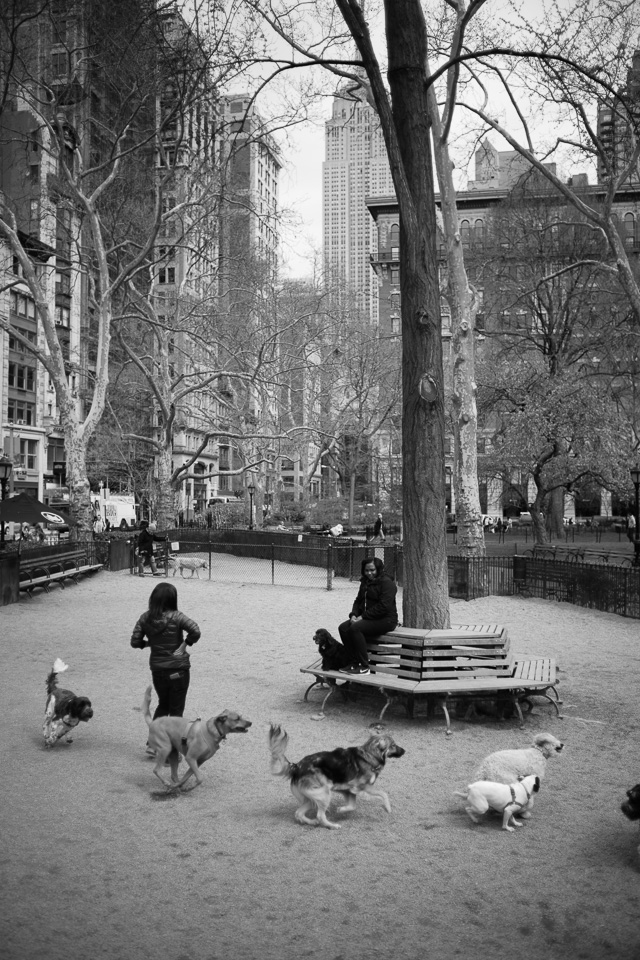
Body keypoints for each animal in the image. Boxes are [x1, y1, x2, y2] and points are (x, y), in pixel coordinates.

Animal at [270, 724, 404, 828]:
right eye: (393, 745)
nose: (404, 751)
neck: (369, 755)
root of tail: (296, 766)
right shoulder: (363, 787)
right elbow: (384, 794)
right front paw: (387, 808)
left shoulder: (348, 790)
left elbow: (352, 806)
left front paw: (341, 810)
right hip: (324, 794)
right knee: (320, 815)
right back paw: (332, 825)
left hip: (313, 796)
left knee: (299, 813)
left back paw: (313, 822)